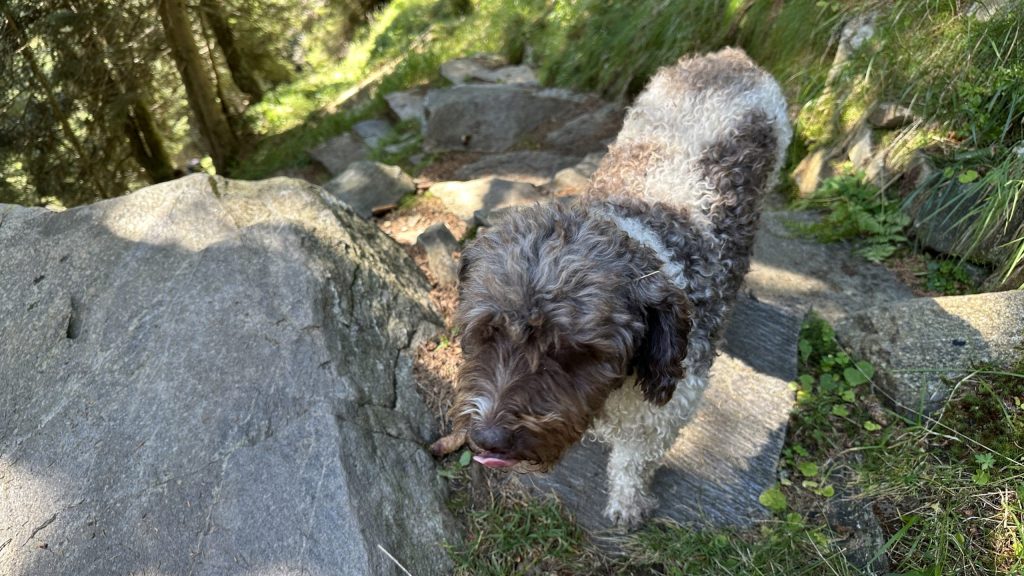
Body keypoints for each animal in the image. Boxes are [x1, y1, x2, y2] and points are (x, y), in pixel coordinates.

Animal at [435, 48, 791, 527]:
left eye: (574, 352)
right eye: (485, 333)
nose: (489, 439)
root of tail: (729, 57)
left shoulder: (666, 410)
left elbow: (633, 460)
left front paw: (627, 501)